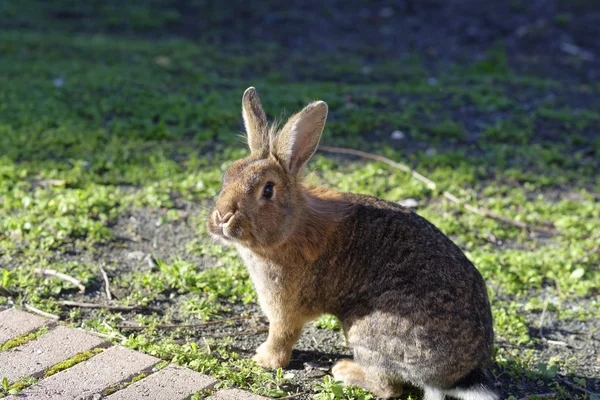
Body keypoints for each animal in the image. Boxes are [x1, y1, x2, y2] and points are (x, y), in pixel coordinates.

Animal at [209, 88, 500, 400]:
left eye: (267, 189)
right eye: (227, 175)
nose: (222, 217)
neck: (291, 226)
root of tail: (461, 376)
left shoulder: (285, 306)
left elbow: (282, 334)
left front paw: (263, 359)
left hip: (366, 331)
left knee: (389, 387)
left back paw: (343, 369)